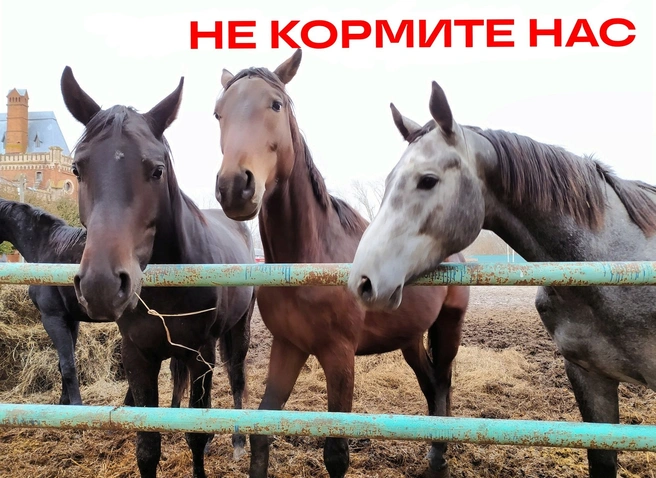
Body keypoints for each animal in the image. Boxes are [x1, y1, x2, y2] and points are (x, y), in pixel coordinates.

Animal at [60, 67, 257, 478]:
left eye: (157, 170)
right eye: (77, 168)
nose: (102, 284)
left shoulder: (200, 353)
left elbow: (196, 433)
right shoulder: (139, 355)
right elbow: (148, 446)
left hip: (237, 331)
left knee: (236, 378)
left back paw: (236, 442)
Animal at [213, 49, 470, 478]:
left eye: (275, 104)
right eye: (219, 112)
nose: (235, 187)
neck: (309, 257)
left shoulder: (339, 355)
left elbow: (336, 455)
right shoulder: (288, 347)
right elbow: (261, 433)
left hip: (448, 328)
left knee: (444, 384)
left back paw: (440, 456)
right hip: (410, 339)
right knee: (432, 385)